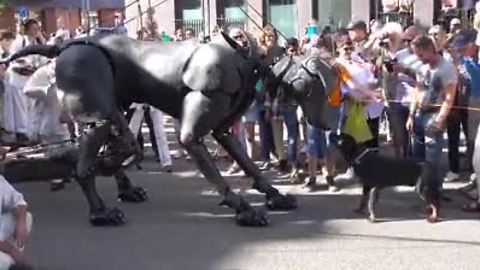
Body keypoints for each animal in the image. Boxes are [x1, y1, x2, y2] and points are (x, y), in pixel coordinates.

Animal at [0, 31, 338, 226]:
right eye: (319, 89)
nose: (327, 125)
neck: (252, 60)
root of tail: (62, 44)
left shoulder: (224, 129)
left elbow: (247, 161)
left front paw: (274, 194)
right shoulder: (194, 129)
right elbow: (201, 152)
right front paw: (244, 209)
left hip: (119, 103)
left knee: (117, 140)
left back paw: (126, 187)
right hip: (91, 86)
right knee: (91, 153)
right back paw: (100, 212)